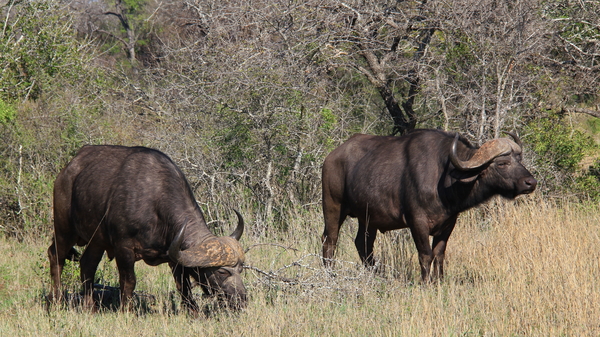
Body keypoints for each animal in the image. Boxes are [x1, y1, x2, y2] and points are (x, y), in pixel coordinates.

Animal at [48, 144, 247, 310]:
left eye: (241, 269)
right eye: (222, 271)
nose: (241, 298)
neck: (155, 203)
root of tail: (67, 170)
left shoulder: (174, 256)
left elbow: (183, 286)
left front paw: (193, 311)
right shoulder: (124, 248)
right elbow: (129, 281)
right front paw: (126, 311)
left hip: (97, 241)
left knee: (87, 264)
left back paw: (90, 306)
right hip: (64, 229)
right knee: (56, 256)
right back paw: (56, 301)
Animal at [322, 129, 536, 280]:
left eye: (519, 159)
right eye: (502, 163)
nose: (530, 182)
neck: (444, 178)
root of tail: (331, 157)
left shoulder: (449, 223)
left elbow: (439, 254)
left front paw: (438, 281)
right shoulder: (417, 222)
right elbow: (425, 254)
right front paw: (425, 282)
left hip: (368, 218)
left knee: (363, 244)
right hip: (333, 207)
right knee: (329, 240)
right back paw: (330, 275)